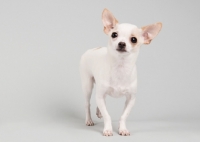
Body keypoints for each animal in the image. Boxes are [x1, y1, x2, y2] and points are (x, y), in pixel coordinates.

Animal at [79, 8, 161, 136]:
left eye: (134, 39)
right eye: (114, 34)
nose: (122, 43)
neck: (120, 67)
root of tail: (93, 49)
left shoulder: (131, 99)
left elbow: (123, 116)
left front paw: (122, 129)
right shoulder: (99, 93)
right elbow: (107, 116)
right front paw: (108, 129)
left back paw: (99, 112)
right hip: (87, 85)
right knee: (88, 103)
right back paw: (89, 120)